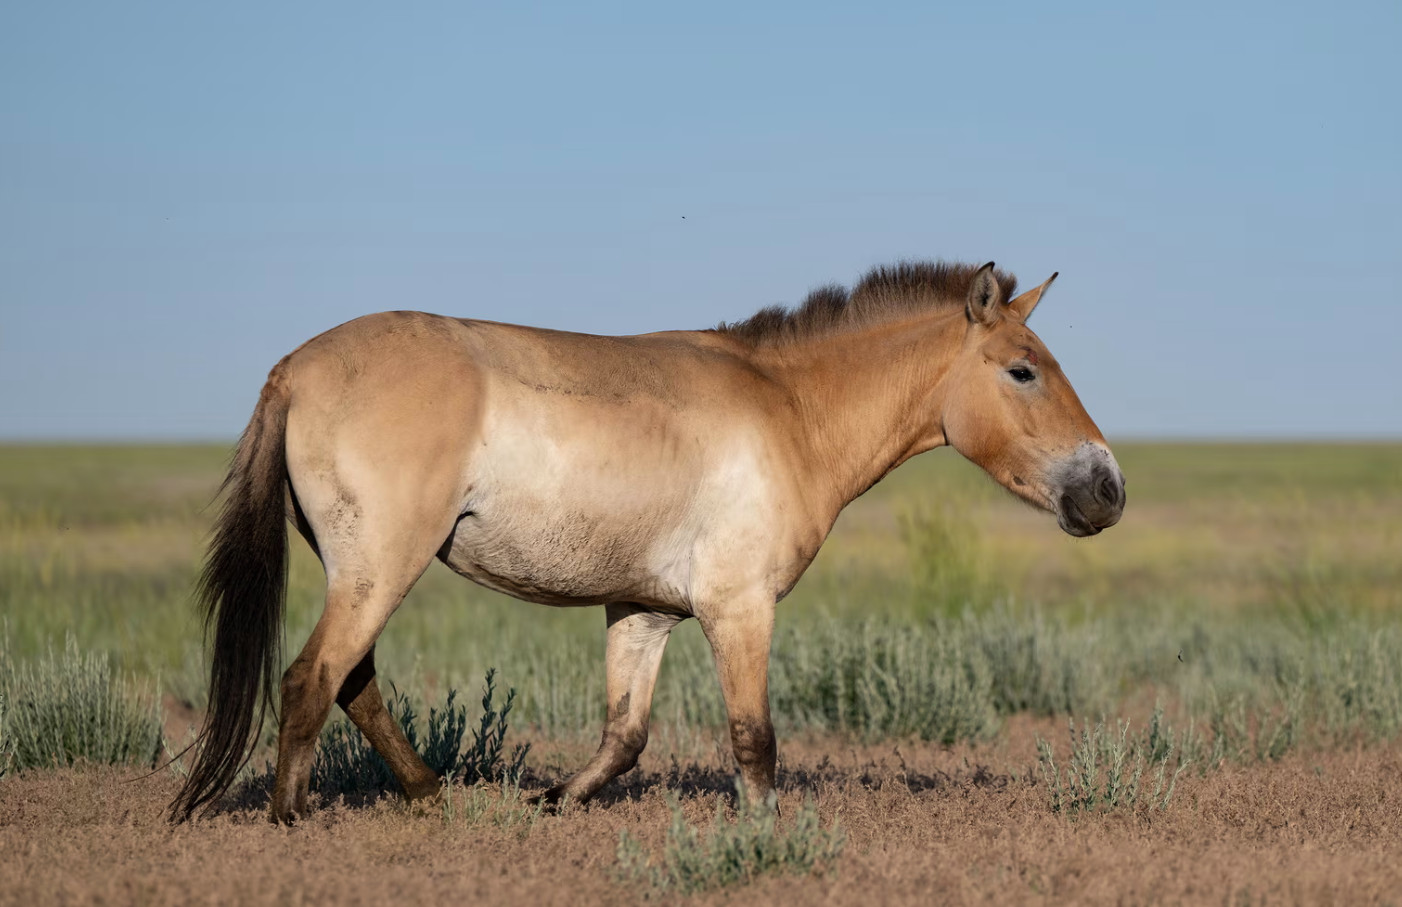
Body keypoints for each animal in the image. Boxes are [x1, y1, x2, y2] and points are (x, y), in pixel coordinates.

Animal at [166, 257, 1127, 824]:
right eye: (1022, 370)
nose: (1108, 489)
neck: (787, 410)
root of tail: (293, 368)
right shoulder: (738, 608)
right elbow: (753, 739)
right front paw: (767, 837)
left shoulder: (644, 610)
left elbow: (624, 736)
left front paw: (551, 799)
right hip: (380, 567)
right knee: (313, 677)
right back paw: (294, 817)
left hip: (366, 571)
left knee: (353, 681)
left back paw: (434, 795)